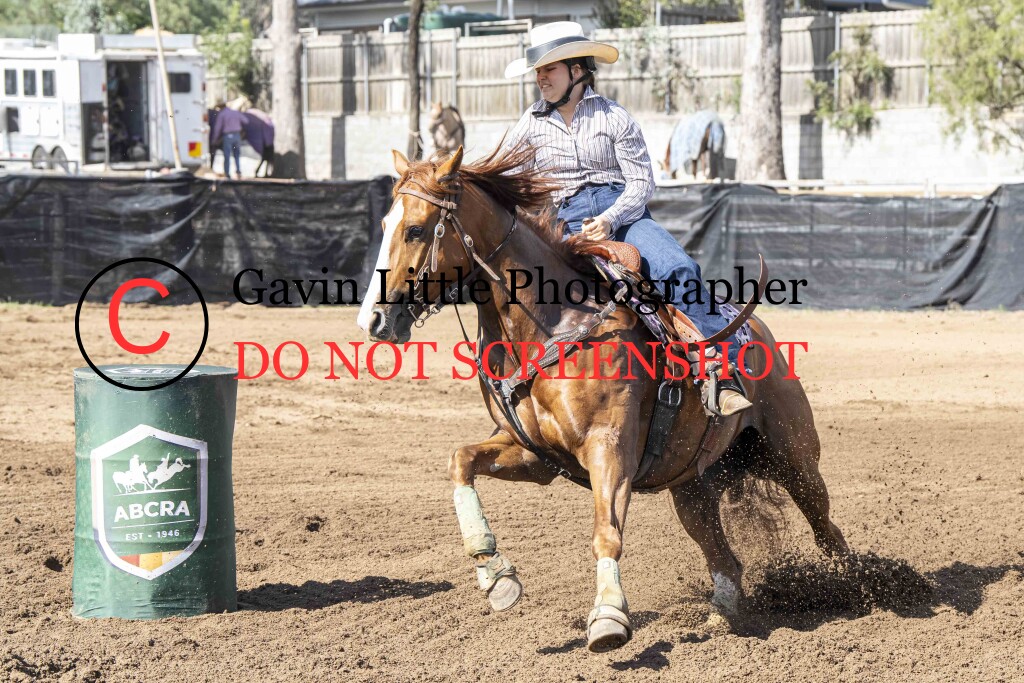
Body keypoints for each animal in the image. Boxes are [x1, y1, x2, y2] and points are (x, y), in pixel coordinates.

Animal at [359, 143, 848, 653]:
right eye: (384, 224)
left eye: (416, 228)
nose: (375, 320)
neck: (553, 324)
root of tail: (761, 332)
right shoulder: (535, 455)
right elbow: (461, 460)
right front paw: (495, 575)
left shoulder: (608, 448)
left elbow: (606, 533)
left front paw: (609, 616)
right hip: (691, 485)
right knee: (724, 557)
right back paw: (722, 616)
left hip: (794, 458)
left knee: (827, 528)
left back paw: (855, 587)